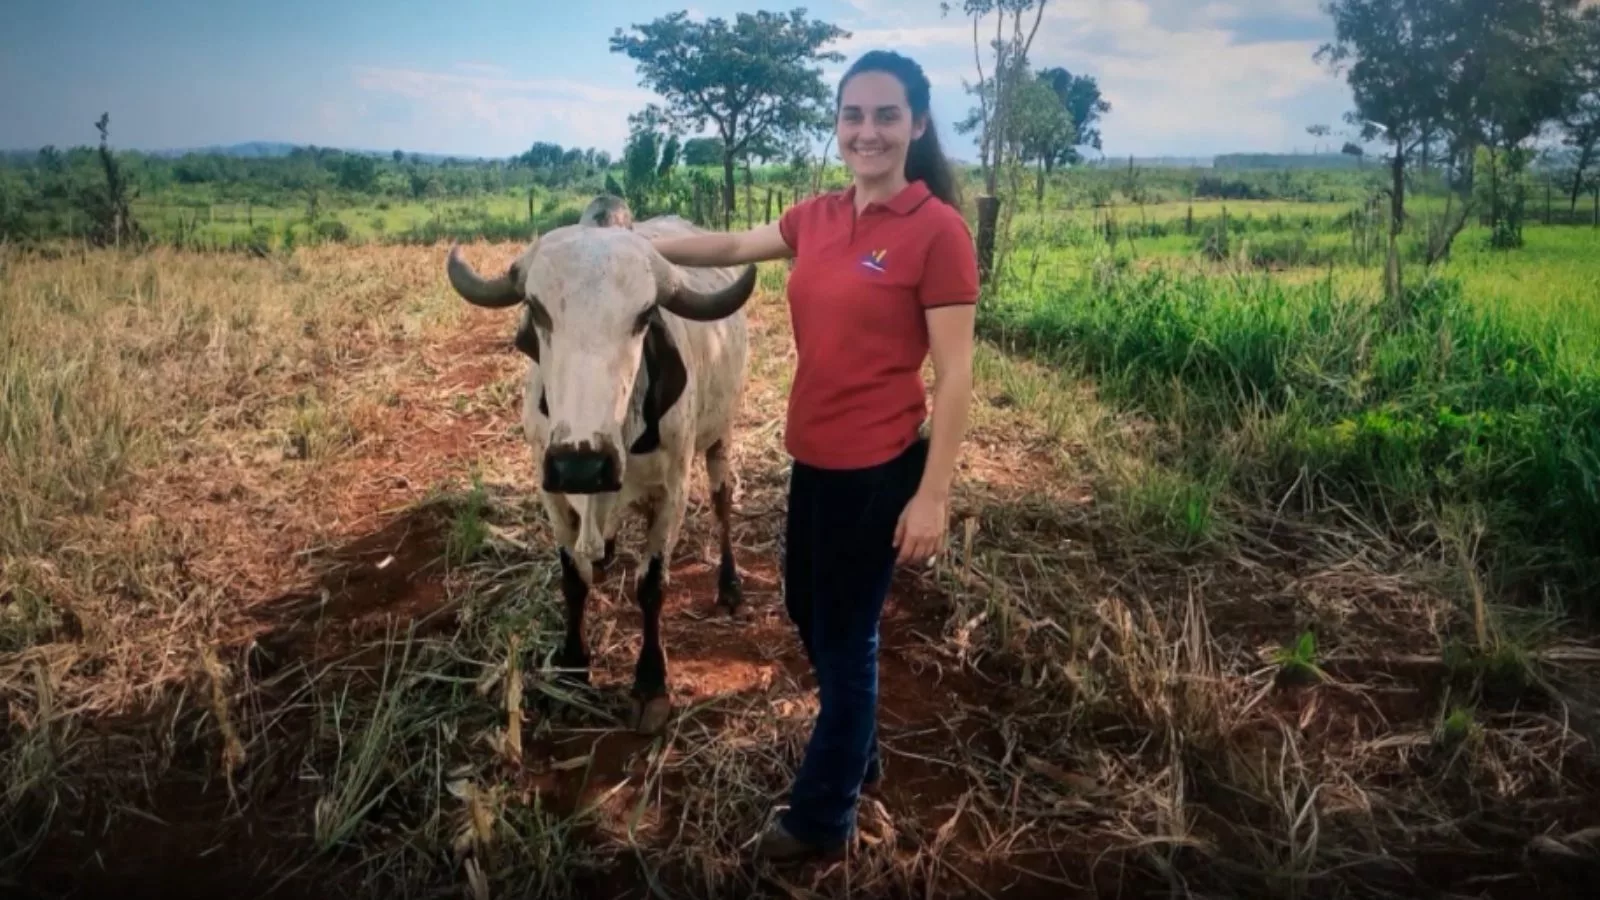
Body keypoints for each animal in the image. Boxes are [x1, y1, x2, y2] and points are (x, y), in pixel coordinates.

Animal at [444, 192, 755, 733]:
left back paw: (730, 584)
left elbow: (651, 586)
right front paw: (572, 667)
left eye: (646, 314)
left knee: (722, 501)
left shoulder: (672, 494)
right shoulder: (550, 490)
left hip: (721, 435)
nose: (582, 467)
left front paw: (650, 682)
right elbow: (574, 579)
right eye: (537, 310)